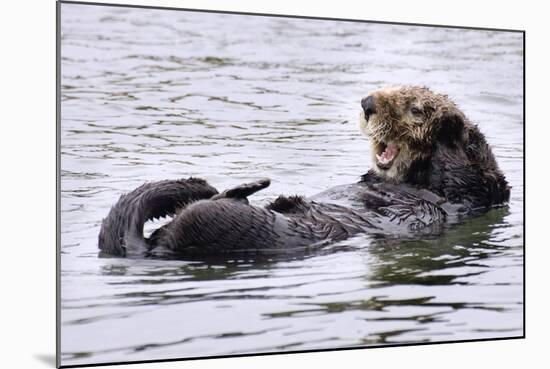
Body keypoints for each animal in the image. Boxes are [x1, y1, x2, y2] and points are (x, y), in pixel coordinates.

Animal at [97, 85, 512, 258]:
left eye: (411, 107)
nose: (368, 103)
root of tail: (153, 248)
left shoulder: (469, 195)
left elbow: (468, 172)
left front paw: (448, 126)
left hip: (231, 227)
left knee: (208, 210)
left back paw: (248, 188)